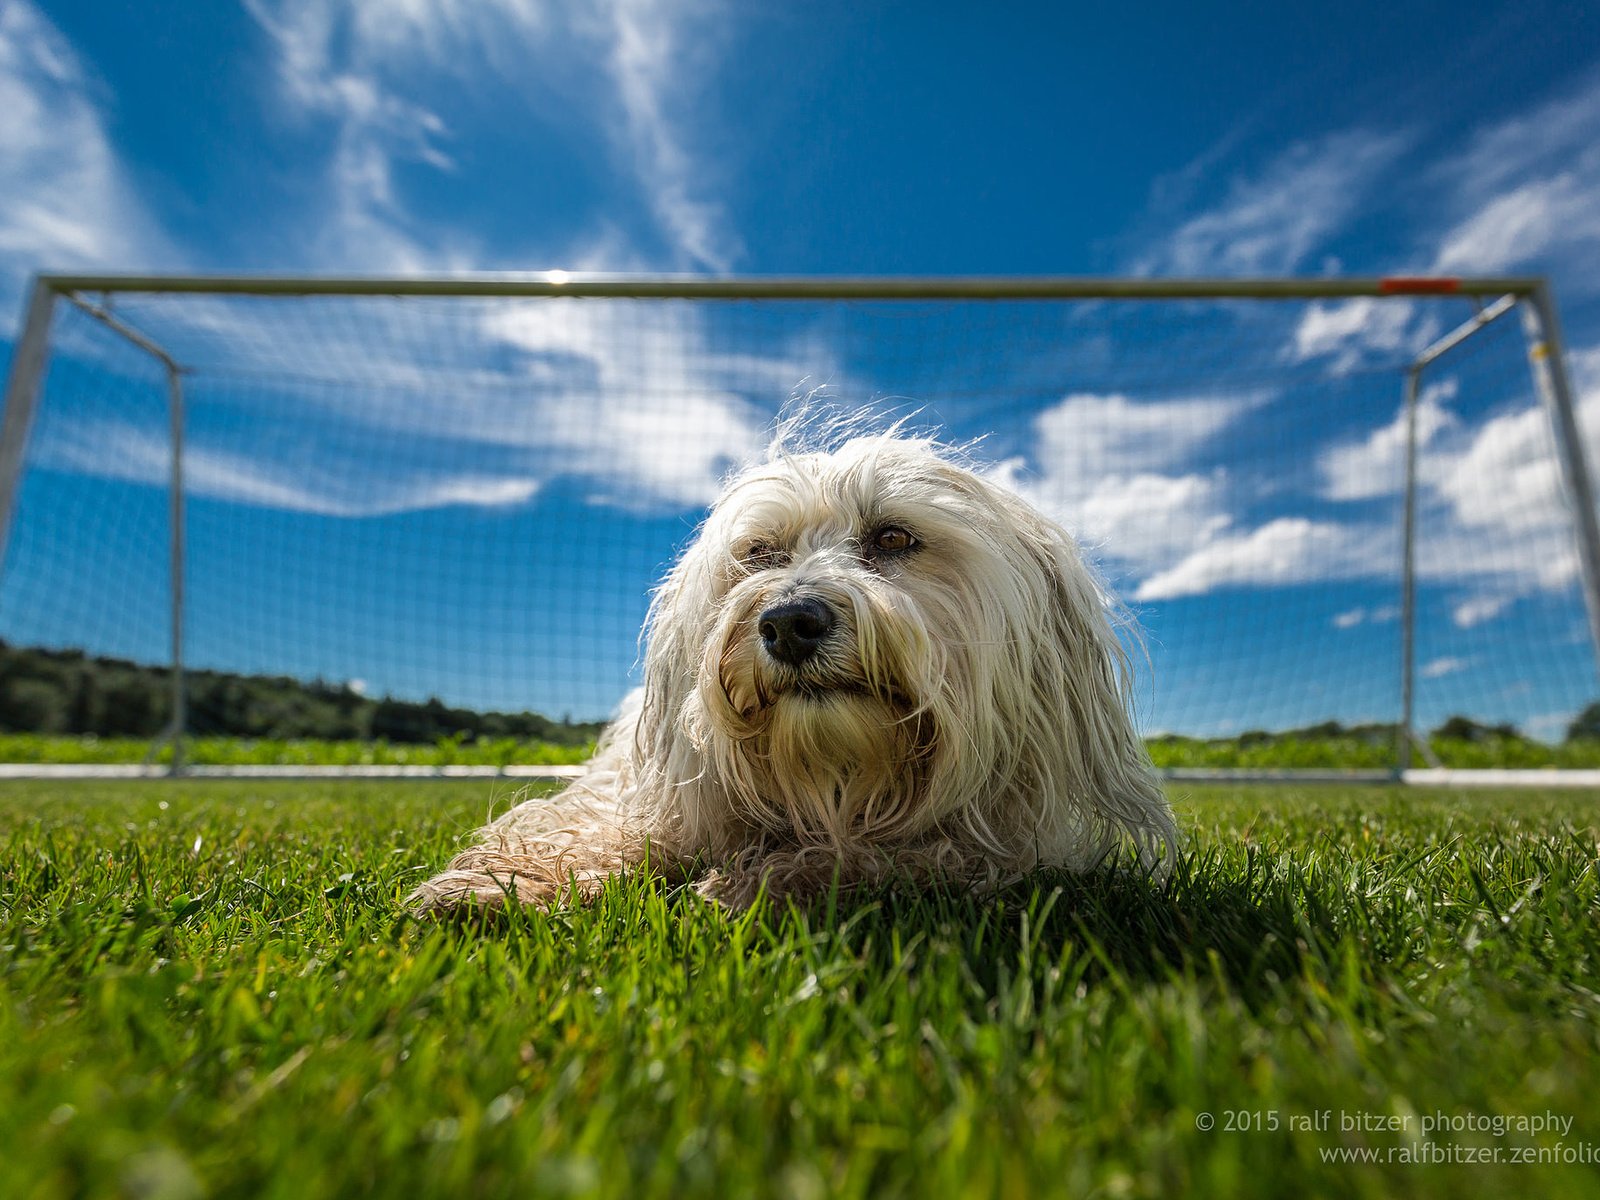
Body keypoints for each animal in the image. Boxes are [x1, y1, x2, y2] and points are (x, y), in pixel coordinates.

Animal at [412, 422, 1177, 908]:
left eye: (892, 537)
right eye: (762, 553)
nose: (788, 623)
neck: (835, 777)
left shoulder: (1006, 838)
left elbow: (926, 852)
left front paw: (775, 878)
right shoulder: (651, 788)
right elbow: (607, 824)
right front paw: (503, 883)